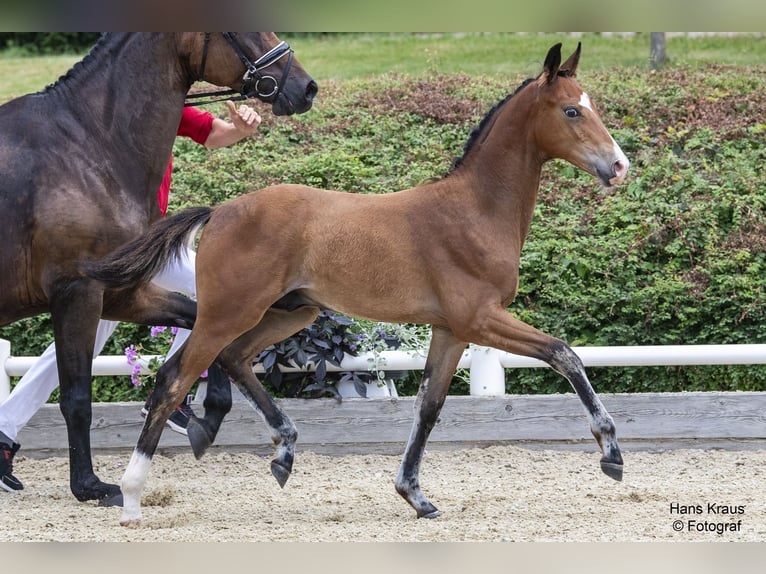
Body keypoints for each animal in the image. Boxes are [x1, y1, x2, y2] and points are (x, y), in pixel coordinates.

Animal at [0, 32, 316, 508]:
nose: (306, 87)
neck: (90, 144)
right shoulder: (78, 291)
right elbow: (76, 396)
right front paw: (89, 485)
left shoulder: (122, 293)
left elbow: (204, 330)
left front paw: (207, 417)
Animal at [84, 42, 628, 524]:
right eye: (571, 111)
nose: (619, 166)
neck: (475, 209)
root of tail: (220, 211)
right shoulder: (481, 319)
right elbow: (564, 354)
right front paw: (610, 451)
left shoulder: (451, 331)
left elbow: (428, 408)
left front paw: (415, 496)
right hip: (229, 313)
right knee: (175, 379)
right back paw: (132, 497)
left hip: (290, 311)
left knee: (234, 359)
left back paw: (283, 451)